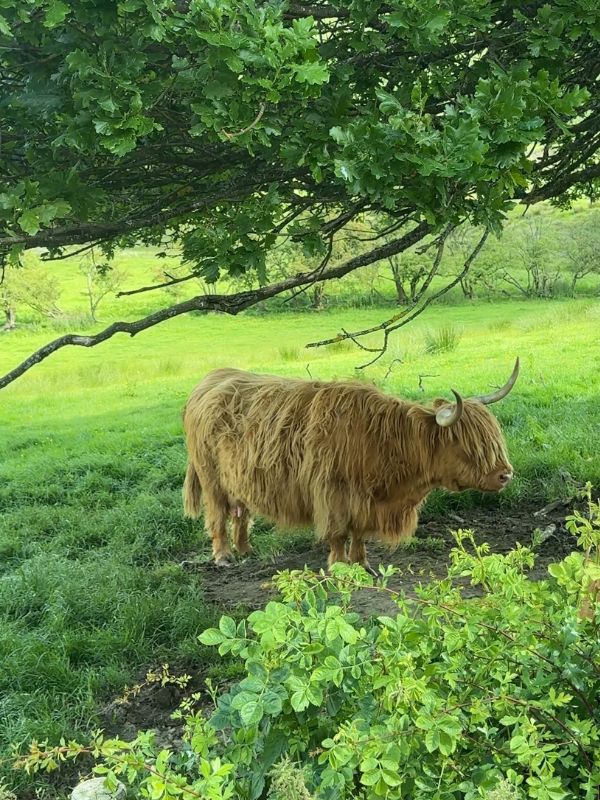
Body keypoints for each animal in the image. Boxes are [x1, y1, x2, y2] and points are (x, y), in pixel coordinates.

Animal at [182, 359, 519, 575]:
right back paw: (224, 557)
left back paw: (246, 550)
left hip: (238, 478)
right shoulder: (333, 493)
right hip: (211, 478)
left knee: (241, 513)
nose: (505, 475)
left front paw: (363, 564)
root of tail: (209, 380)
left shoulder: (367, 502)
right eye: (472, 446)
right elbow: (338, 533)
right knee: (218, 516)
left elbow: (359, 534)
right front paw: (339, 565)